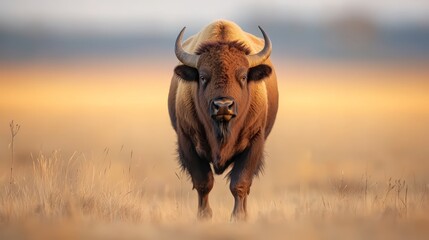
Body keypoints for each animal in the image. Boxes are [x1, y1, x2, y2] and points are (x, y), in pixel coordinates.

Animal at [167, 19, 278, 220]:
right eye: (203, 77)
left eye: (243, 76)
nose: (224, 106)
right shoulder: (187, 140)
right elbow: (203, 182)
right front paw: (204, 216)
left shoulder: (255, 142)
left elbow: (240, 183)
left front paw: (239, 217)